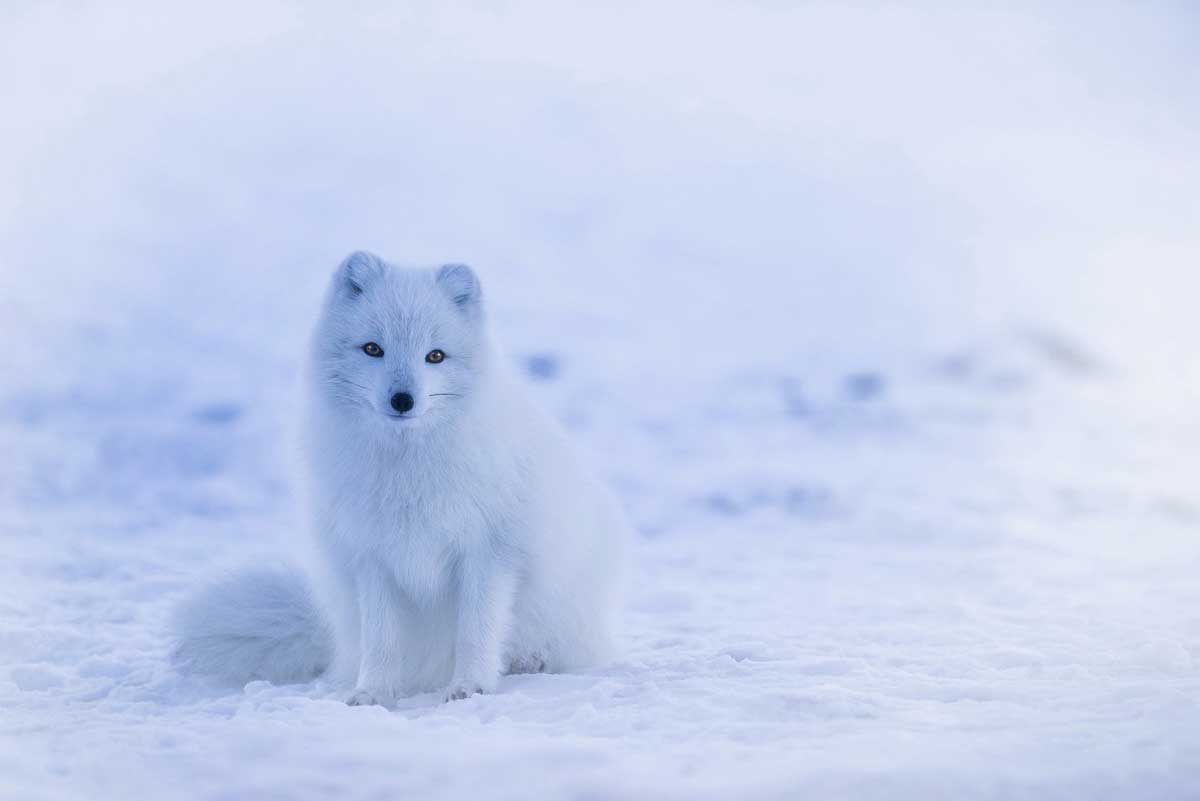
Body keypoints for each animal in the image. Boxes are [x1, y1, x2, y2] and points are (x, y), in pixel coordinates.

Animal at [177, 253, 633, 705]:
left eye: (435, 356)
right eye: (373, 348)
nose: (402, 400)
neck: (407, 469)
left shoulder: (489, 552)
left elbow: (477, 629)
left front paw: (471, 686)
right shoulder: (372, 556)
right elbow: (382, 639)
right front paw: (373, 693)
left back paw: (529, 661)